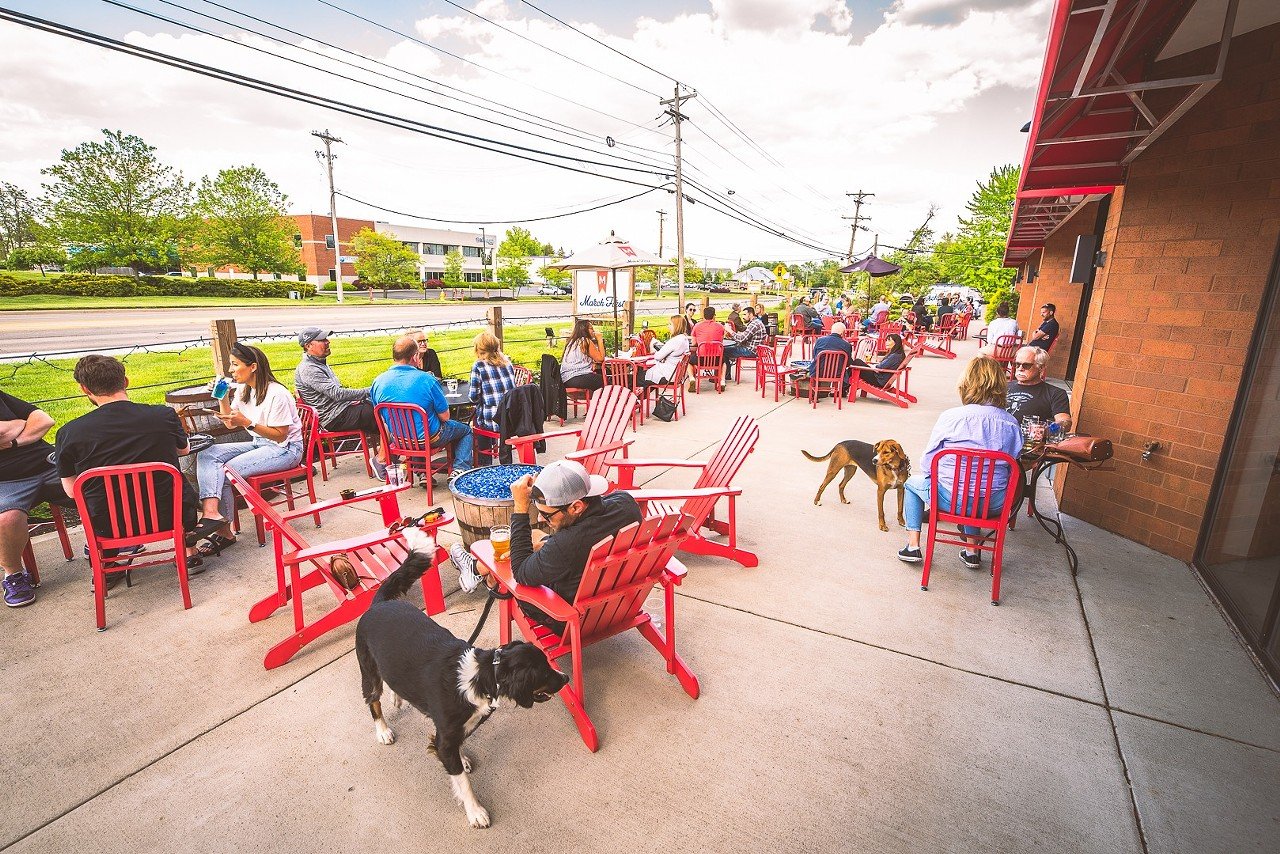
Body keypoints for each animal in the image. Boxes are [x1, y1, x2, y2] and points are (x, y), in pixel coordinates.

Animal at [353, 527, 568, 829]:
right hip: (369, 671)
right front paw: (475, 811)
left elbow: (457, 746)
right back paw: (383, 730)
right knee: (373, 701)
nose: (566, 677)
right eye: (545, 672)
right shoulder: (446, 734)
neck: (485, 673)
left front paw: (463, 757)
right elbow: (462, 781)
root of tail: (380, 604)